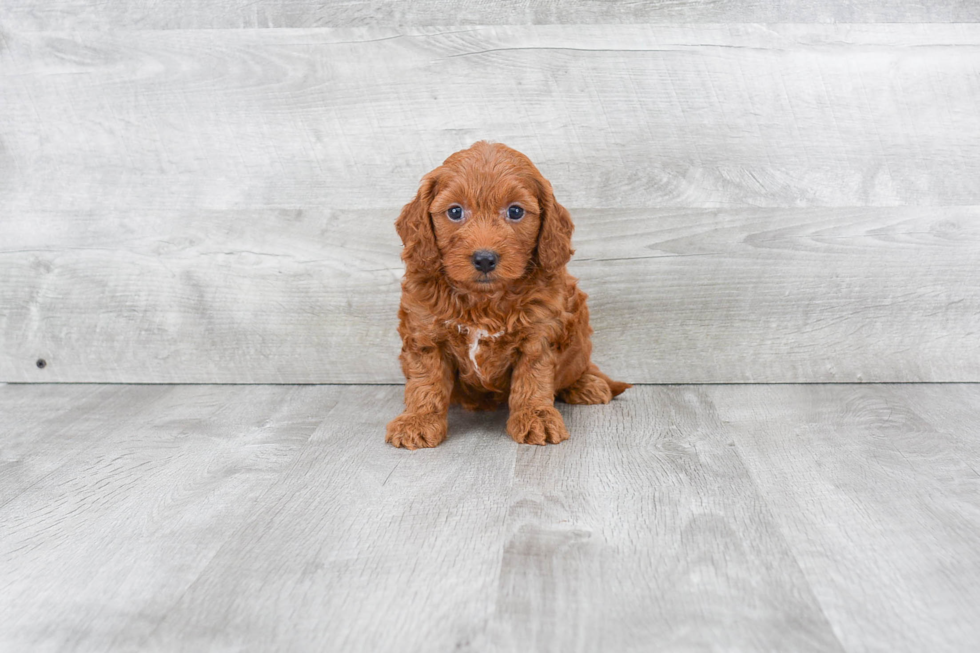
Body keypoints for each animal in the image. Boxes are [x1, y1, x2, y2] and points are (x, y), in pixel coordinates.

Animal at [382, 141, 628, 448]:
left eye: (515, 211)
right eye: (455, 212)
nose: (485, 259)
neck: (483, 301)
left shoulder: (539, 334)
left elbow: (532, 380)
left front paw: (536, 417)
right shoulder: (425, 333)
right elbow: (426, 381)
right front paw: (418, 420)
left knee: (579, 366)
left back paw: (587, 384)